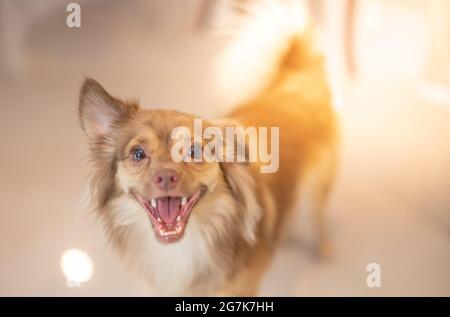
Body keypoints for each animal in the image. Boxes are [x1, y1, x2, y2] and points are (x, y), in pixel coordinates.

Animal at [78, 1, 338, 296]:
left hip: (320, 183)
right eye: (138, 154)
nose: (165, 177)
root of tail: (295, 72)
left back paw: (323, 246)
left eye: (194, 152)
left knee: (317, 216)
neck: (181, 249)